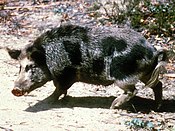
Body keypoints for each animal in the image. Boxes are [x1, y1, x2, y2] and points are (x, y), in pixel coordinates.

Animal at [7, 24, 167, 109]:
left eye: (32, 66)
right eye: (19, 67)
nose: (15, 90)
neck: (50, 57)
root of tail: (153, 50)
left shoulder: (66, 74)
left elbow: (59, 88)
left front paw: (48, 101)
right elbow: (59, 88)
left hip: (122, 75)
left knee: (133, 90)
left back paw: (113, 106)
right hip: (146, 73)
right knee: (158, 84)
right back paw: (157, 107)